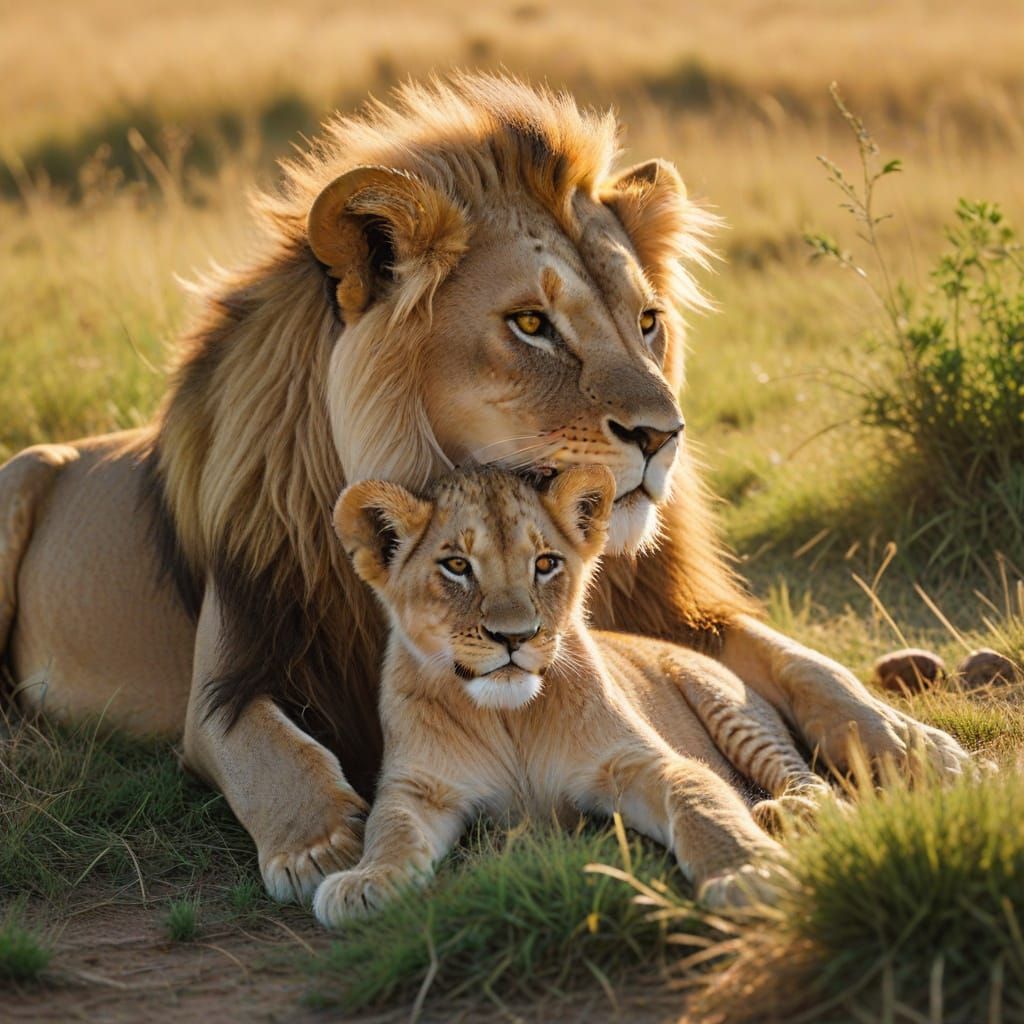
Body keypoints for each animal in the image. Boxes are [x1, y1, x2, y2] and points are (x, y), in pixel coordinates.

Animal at [315, 465, 829, 924]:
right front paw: (364, 881)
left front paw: (748, 871)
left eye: (546, 564)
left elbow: (701, 802)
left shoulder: (638, 762)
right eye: (457, 565)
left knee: (810, 781)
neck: (510, 718)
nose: (515, 636)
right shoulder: (419, 787)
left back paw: (788, 811)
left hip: (726, 702)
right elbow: (391, 827)